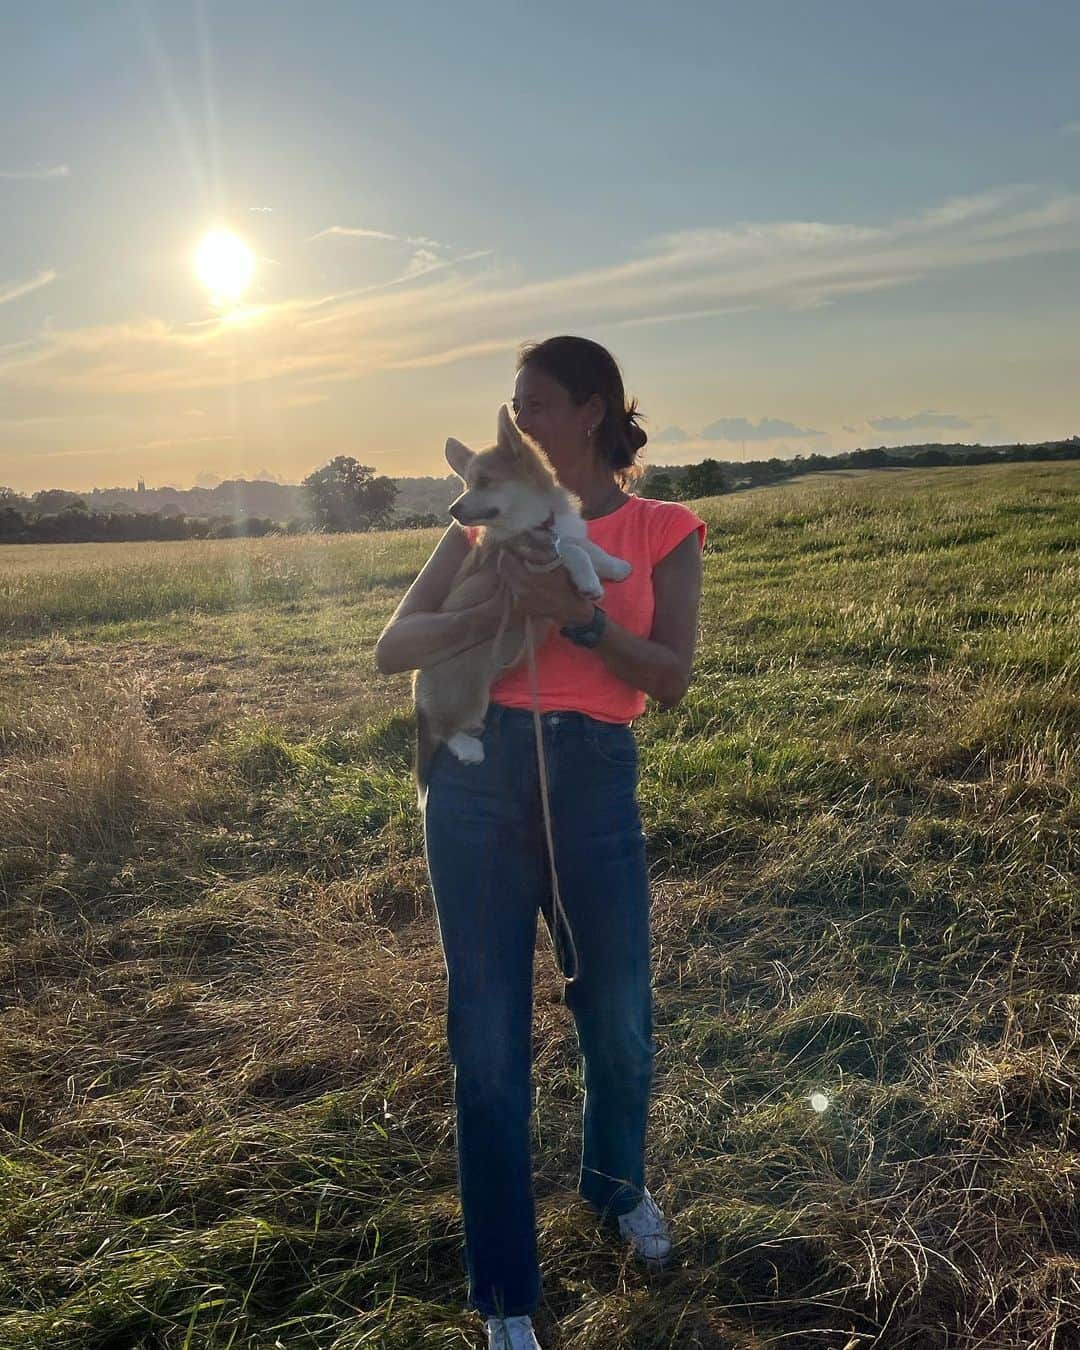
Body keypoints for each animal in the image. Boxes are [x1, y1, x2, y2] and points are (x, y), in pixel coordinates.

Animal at [413, 396, 631, 799]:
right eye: (466, 483)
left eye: (484, 482)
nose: (452, 510)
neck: (538, 523)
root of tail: (419, 699)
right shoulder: (529, 558)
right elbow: (574, 551)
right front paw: (590, 582)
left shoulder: (560, 537)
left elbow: (584, 544)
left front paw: (615, 566)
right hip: (468, 694)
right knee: (443, 731)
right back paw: (468, 748)